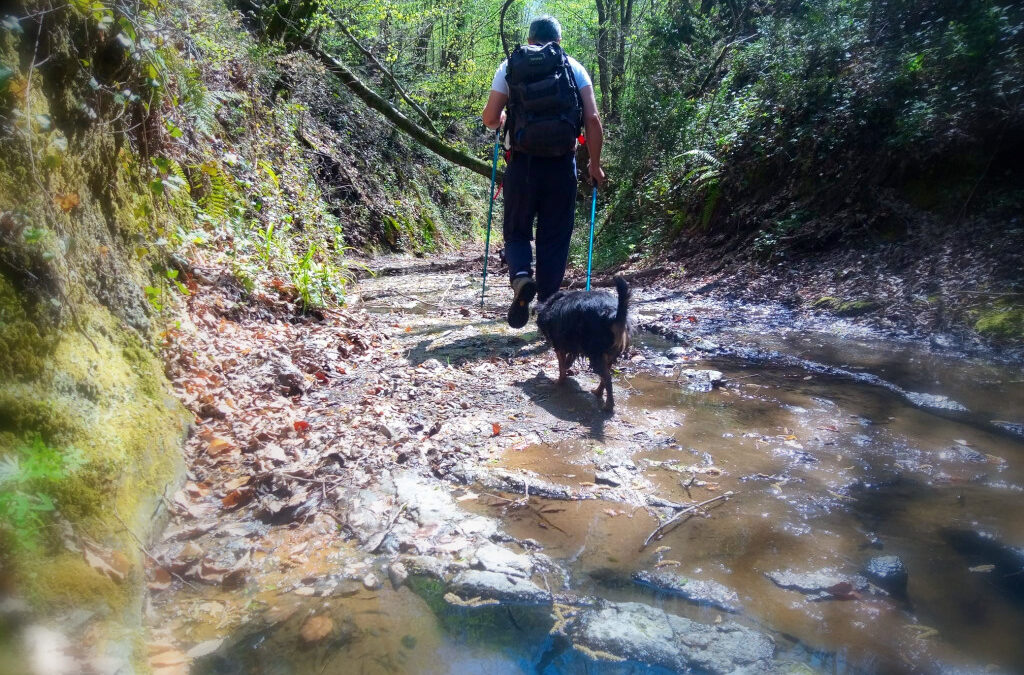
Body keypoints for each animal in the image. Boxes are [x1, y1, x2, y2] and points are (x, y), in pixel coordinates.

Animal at [536, 276, 630, 411]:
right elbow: (568, 360)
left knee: (607, 378)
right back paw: (598, 392)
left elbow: (561, 367)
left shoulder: (559, 347)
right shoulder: (572, 344)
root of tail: (612, 315)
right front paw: (567, 368)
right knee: (605, 376)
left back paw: (608, 405)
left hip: (595, 355)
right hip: (609, 356)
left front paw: (559, 381)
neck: (551, 304)